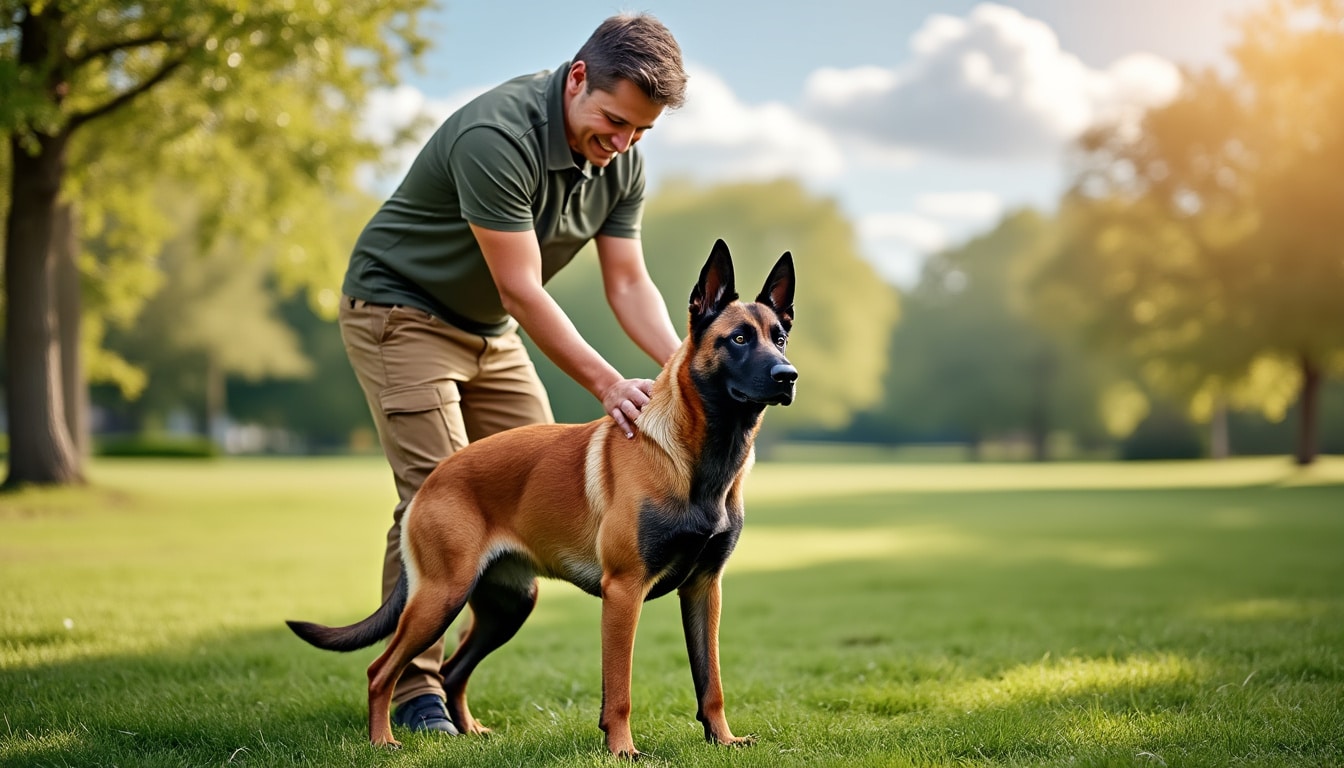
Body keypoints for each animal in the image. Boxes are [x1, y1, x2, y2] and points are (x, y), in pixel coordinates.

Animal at [287, 240, 795, 758]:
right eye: (738, 339)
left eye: (780, 338)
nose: (787, 375)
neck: (702, 460)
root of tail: (434, 477)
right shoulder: (623, 592)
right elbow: (620, 689)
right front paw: (622, 749)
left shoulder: (704, 589)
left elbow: (710, 680)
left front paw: (723, 739)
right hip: (440, 597)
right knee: (381, 671)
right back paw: (382, 740)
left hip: (508, 606)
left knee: (452, 671)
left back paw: (468, 731)